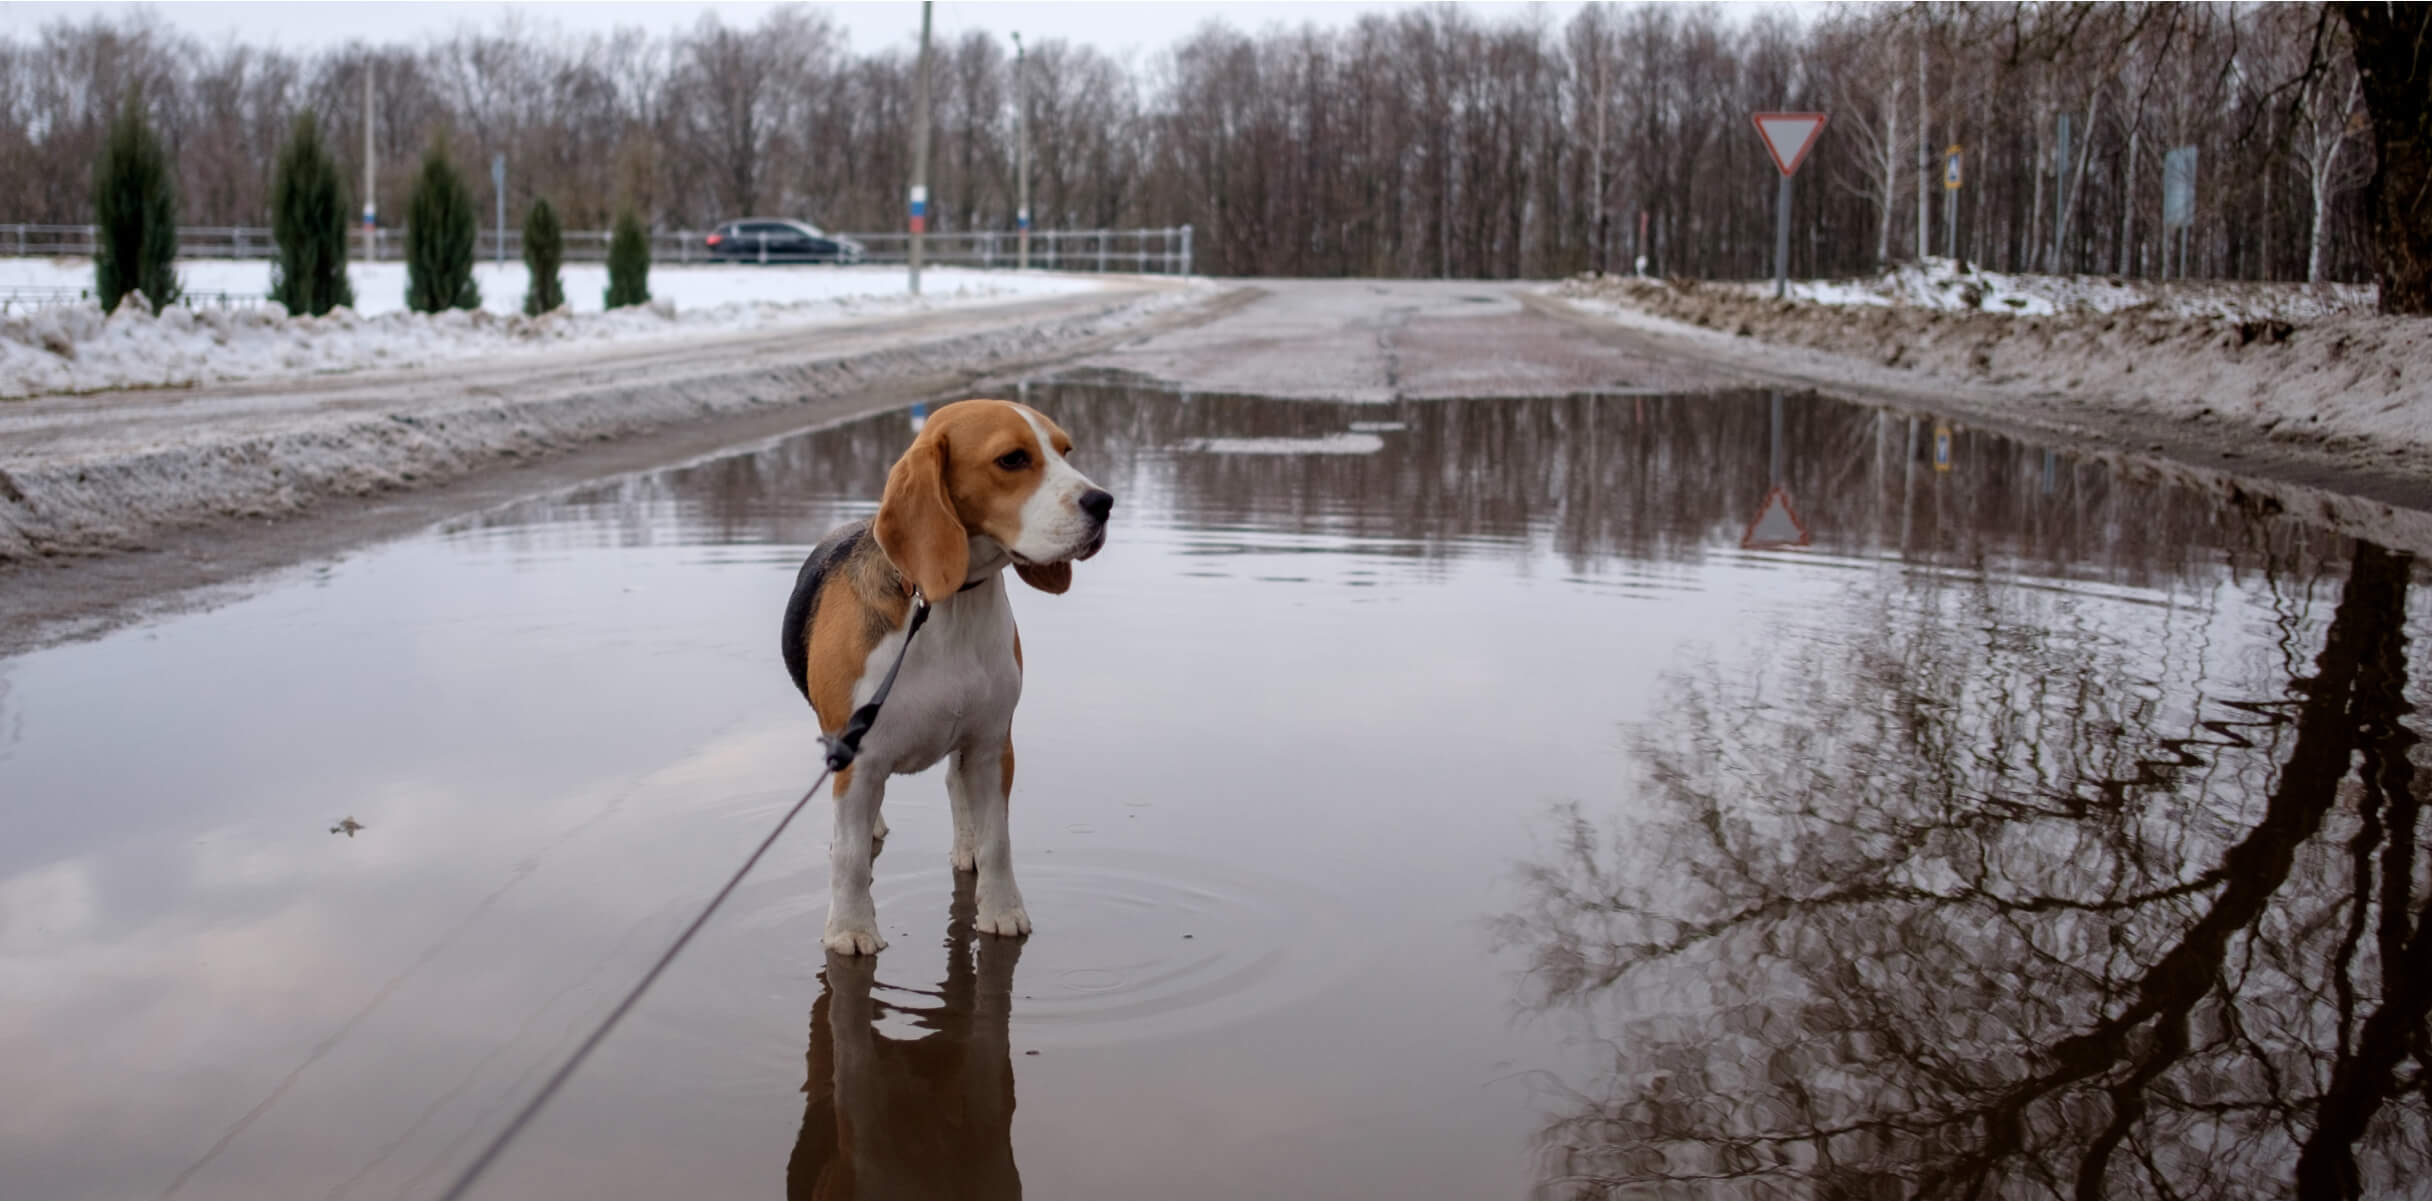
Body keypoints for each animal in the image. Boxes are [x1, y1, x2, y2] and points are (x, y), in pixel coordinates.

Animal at [778, 398, 1113, 953]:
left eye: (1066, 451)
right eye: (1012, 459)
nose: (1104, 502)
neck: (948, 604)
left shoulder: (993, 745)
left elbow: (998, 840)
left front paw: (1001, 910)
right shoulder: (860, 759)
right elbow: (849, 856)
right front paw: (850, 928)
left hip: (968, 743)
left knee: (958, 789)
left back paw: (966, 847)